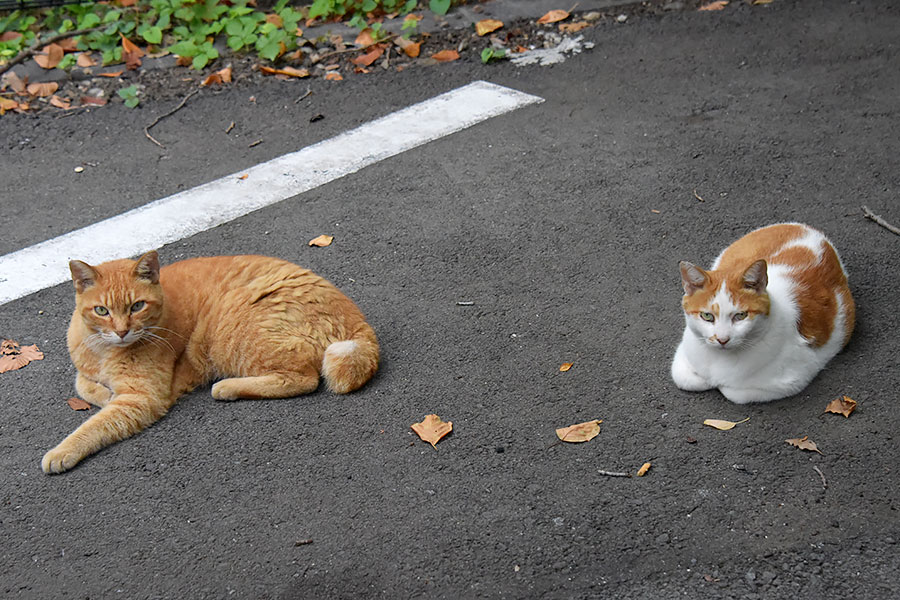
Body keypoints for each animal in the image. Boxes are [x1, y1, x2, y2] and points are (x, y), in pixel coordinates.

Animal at [41, 250, 380, 474]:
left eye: (137, 306)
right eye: (101, 311)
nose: (122, 331)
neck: (103, 350)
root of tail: (356, 316)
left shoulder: (142, 398)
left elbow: (95, 425)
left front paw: (62, 451)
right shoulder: (89, 371)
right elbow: (84, 384)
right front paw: (103, 392)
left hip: (233, 328)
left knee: (303, 378)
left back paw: (228, 387)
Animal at [672, 224, 856, 404]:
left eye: (741, 315)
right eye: (707, 316)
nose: (722, 339)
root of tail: (806, 229)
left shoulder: (795, 377)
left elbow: (731, 391)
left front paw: (719, 384)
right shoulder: (683, 354)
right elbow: (686, 378)